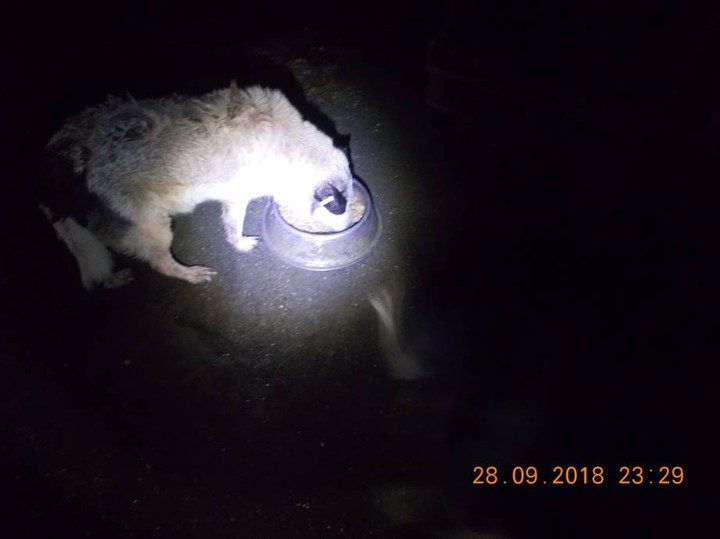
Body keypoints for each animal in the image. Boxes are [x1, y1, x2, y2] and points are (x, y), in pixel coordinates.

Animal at [39, 83, 354, 289]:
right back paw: (184, 273)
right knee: (158, 260)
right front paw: (239, 243)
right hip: (151, 223)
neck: (292, 148)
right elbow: (234, 223)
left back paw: (110, 279)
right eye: (341, 208)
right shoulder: (239, 194)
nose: (348, 232)